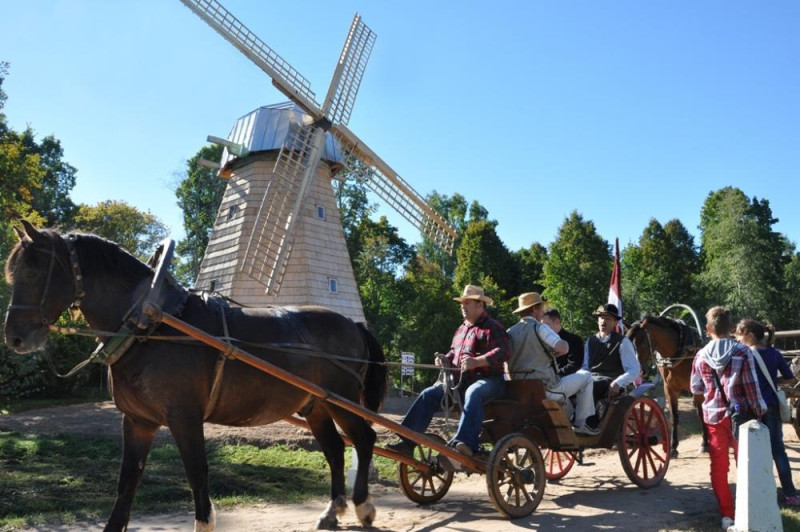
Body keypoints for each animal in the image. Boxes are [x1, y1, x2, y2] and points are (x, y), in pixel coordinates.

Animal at [1, 221, 386, 532]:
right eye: (14, 274)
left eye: (33, 272)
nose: (14, 338)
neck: (152, 325)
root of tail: (353, 324)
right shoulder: (138, 421)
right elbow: (127, 480)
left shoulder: (185, 417)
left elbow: (197, 473)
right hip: (316, 405)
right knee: (335, 449)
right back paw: (331, 511)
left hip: (344, 401)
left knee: (364, 439)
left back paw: (364, 507)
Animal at [624, 316, 708, 458]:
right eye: (628, 344)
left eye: (642, 343)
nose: (640, 371)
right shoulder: (669, 389)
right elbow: (674, 417)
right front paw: (673, 447)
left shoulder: (697, 388)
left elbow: (701, 414)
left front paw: (704, 444)